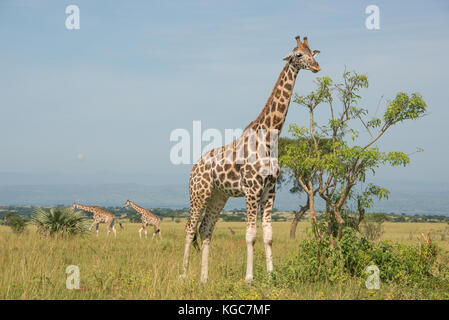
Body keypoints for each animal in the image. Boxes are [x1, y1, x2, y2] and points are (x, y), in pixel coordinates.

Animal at [180, 35, 320, 282]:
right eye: (298, 55)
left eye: (312, 52)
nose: (316, 66)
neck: (269, 137)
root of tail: (194, 167)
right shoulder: (252, 190)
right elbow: (250, 235)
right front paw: (249, 278)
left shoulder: (270, 191)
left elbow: (268, 235)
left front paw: (271, 276)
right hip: (199, 193)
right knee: (189, 228)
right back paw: (184, 275)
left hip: (219, 195)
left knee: (206, 228)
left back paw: (204, 278)